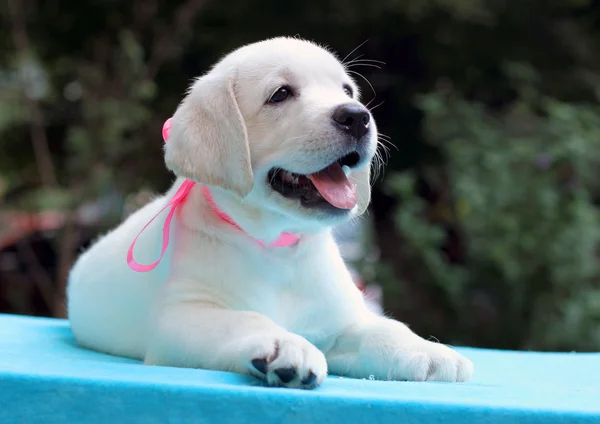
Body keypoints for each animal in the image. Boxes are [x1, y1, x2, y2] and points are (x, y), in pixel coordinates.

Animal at [68, 38, 474, 390]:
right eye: (280, 94)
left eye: (346, 91)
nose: (358, 117)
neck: (278, 248)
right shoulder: (180, 316)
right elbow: (246, 319)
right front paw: (283, 347)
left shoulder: (338, 322)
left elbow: (383, 328)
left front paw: (427, 350)